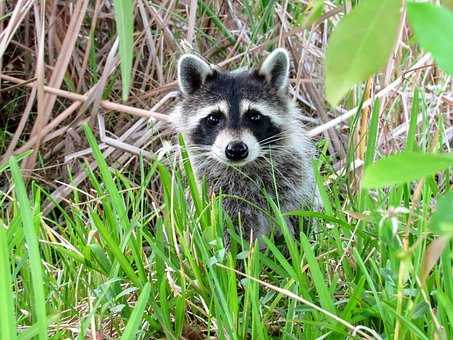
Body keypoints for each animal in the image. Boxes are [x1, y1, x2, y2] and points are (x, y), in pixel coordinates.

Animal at [170, 48, 322, 244]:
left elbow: (300, 213)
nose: (236, 150)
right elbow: (231, 234)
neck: (243, 168)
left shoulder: (292, 181)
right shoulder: (218, 195)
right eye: (213, 118)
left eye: (254, 116)